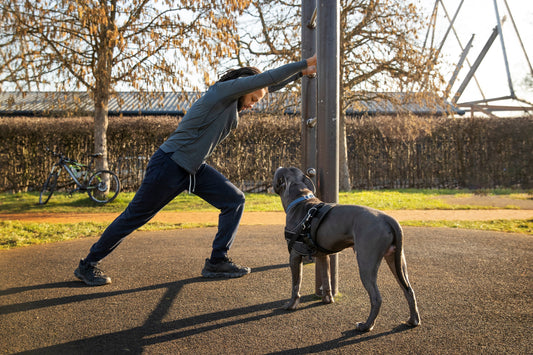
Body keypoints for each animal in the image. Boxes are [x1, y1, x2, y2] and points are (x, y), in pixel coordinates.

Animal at [274, 168, 420, 332]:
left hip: (366, 264)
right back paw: (413, 320)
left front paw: (291, 305)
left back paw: (366, 326)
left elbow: (295, 285)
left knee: (376, 298)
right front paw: (327, 299)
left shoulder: (295, 256)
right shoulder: (323, 256)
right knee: (408, 290)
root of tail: (388, 219)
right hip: (396, 261)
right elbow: (326, 279)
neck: (300, 198)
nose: (278, 167)